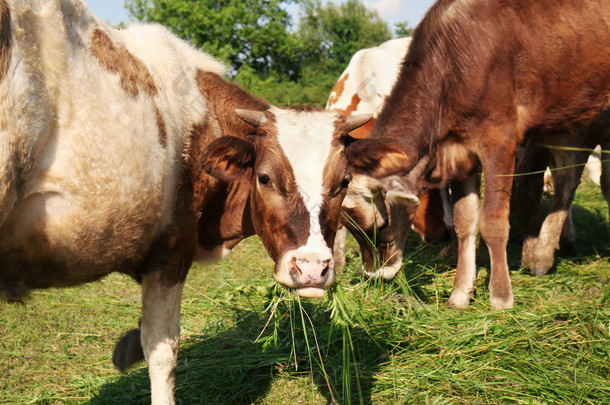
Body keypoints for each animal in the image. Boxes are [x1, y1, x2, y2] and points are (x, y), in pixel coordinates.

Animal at [344, 0, 604, 310]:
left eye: (381, 224)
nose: (375, 274)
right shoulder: (460, 154)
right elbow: (465, 222)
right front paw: (460, 292)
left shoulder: (499, 142)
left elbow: (492, 221)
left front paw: (501, 296)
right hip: (566, 123)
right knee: (567, 179)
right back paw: (543, 255)